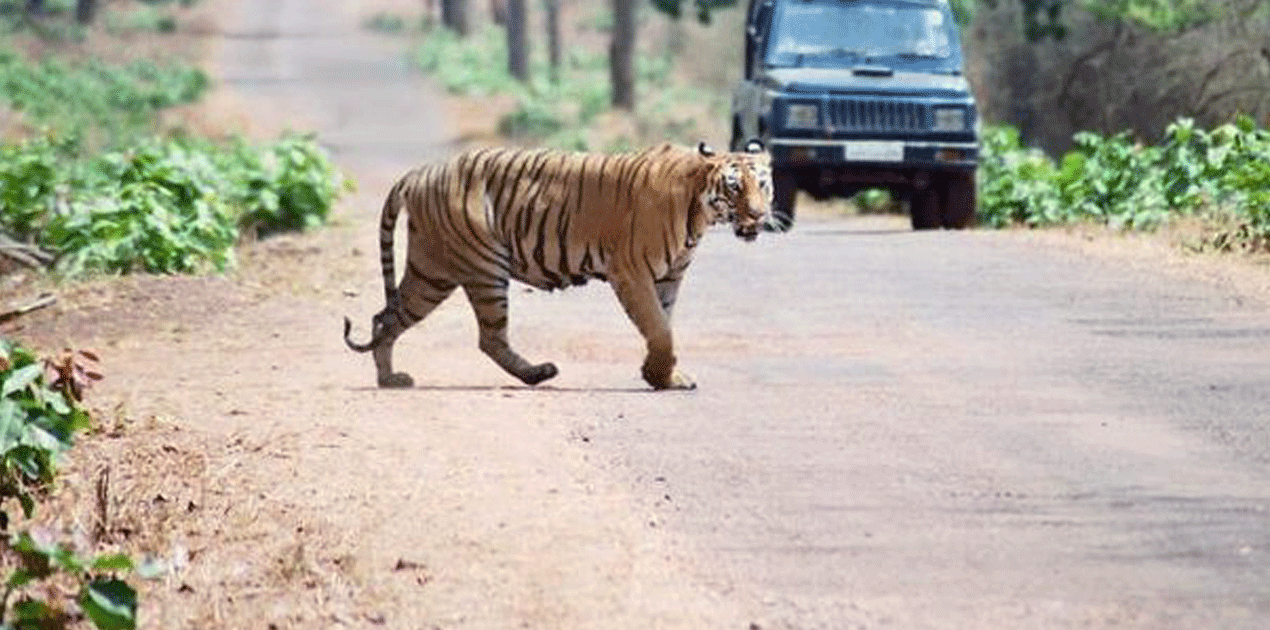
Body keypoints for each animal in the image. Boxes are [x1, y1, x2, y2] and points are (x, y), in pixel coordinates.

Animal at [342, 140, 773, 390]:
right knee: (489, 338)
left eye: (763, 184)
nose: (759, 214)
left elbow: (664, 325)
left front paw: (664, 376)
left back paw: (388, 378)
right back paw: (538, 374)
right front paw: (659, 376)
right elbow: (659, 329)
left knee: (387, 316)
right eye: (735, 187)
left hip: (431, 271)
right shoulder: (632, 272)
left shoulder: (669, 277)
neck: (699, 212)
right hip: (483, 267)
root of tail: (422, 171)